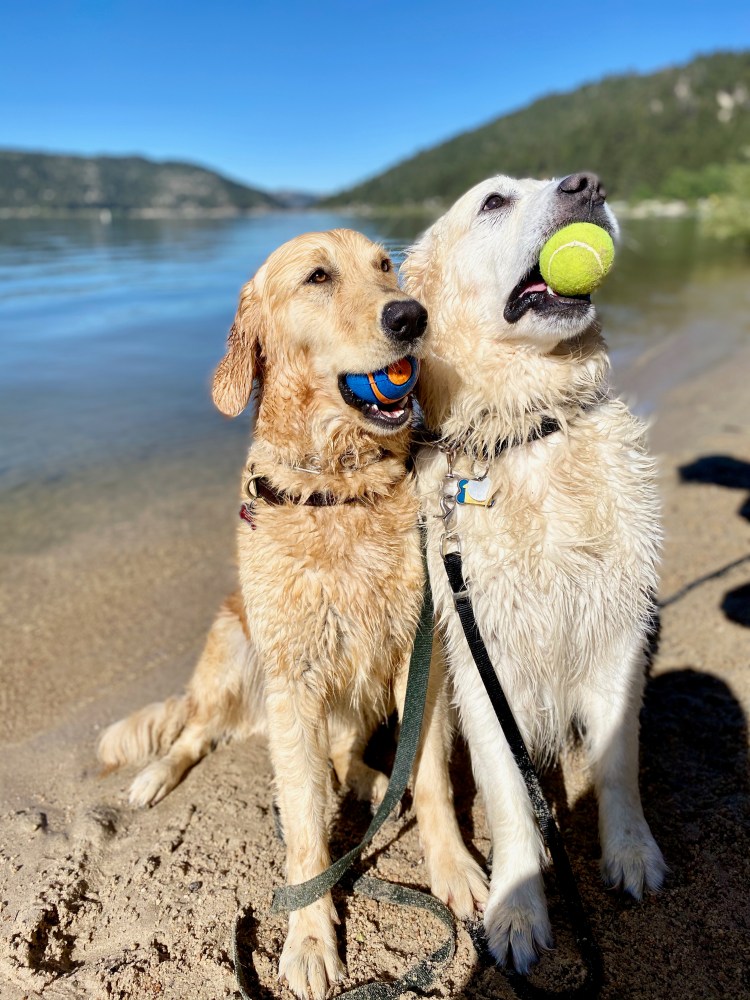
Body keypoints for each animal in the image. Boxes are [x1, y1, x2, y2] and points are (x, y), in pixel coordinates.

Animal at [99, 229, 487, 1000]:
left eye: (386, 267)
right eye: (317, 277)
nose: (411, 316)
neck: (339, 484)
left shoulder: (418, 659)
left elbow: (430, 778)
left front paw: (454, 867)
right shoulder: (295, 684)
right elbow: (305, 832)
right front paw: (309, 939)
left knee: (345, 751)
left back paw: (366, 779)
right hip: (233, 656)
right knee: (194, 730)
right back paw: (155, 776)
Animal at [402, 174, 666, 972]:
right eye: (493, 202)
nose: (588, 184)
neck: (531, 432)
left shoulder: (617, 633)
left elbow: (618, 763)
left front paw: (631, 852)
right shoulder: (483, 661)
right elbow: (510, 803)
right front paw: (516, 911)